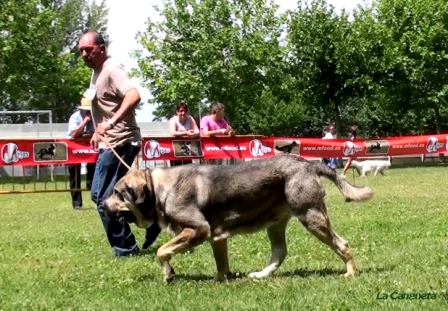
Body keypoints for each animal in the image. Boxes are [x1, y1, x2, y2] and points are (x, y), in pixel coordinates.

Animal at [103, 156, 372, 282]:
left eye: (117, 192)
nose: (103, 206)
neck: (158, 188)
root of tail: (308, 164)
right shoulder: (217, 238)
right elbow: (221, 264)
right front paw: (220, 280)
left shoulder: (198, 229)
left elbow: (162, 251)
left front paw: (169, 274)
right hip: (276, 224)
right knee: (279, 253)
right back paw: (260, 275)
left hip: (312, 217)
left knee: (342, 244)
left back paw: (350, 273)